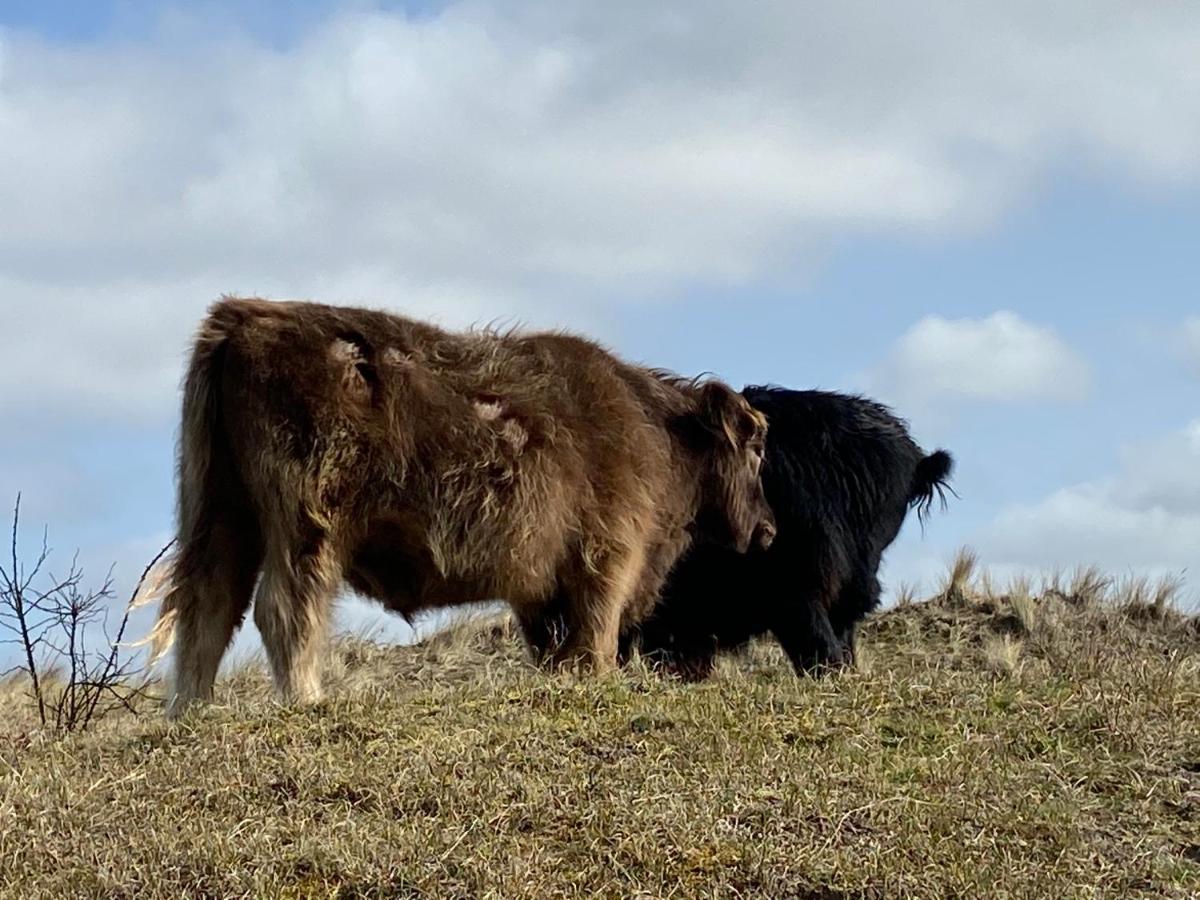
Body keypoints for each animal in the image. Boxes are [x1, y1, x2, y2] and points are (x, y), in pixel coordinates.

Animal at [145, 297, 772, 720]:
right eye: (757, 446)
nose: (768, 529)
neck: (656, 431)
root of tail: (248, 314)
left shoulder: (540, 591)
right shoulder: (606, 562)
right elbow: (595, 642)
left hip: (223, 515)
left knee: (208, 607)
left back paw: (191, 713)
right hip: (305, 527)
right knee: (285, 608)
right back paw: (308, 698)